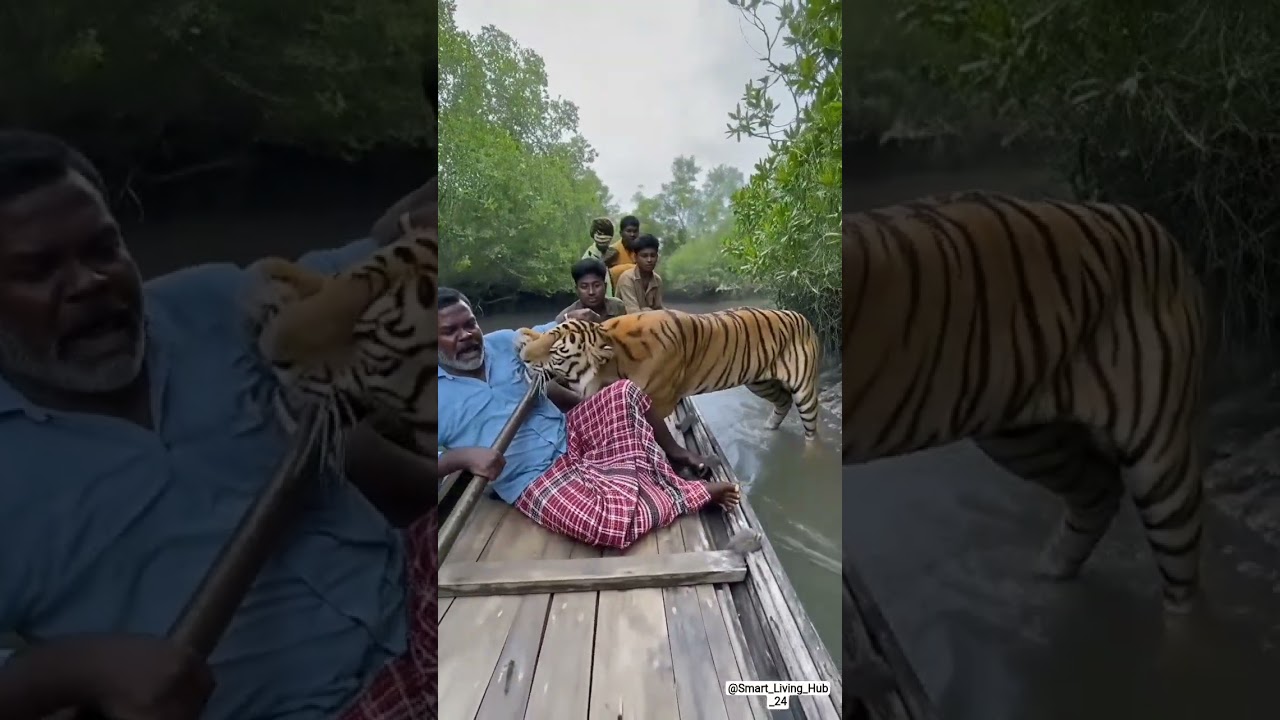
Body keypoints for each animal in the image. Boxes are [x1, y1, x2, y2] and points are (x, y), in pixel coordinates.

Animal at [513, 307, 822, 441]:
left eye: (556, 351)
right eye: (547, 336)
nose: (523, 357)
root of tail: (804, 316)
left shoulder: (659, 401)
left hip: (804, 390)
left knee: (810, 429)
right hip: (760, 382)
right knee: (782, 401)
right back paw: (769, 428)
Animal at [842, 190, 1207, 614]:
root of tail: (1152, 224)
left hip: (1157, 460)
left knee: (1183, 591)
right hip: (1024, 439)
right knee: (1099, 489)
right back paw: (1050, 571)